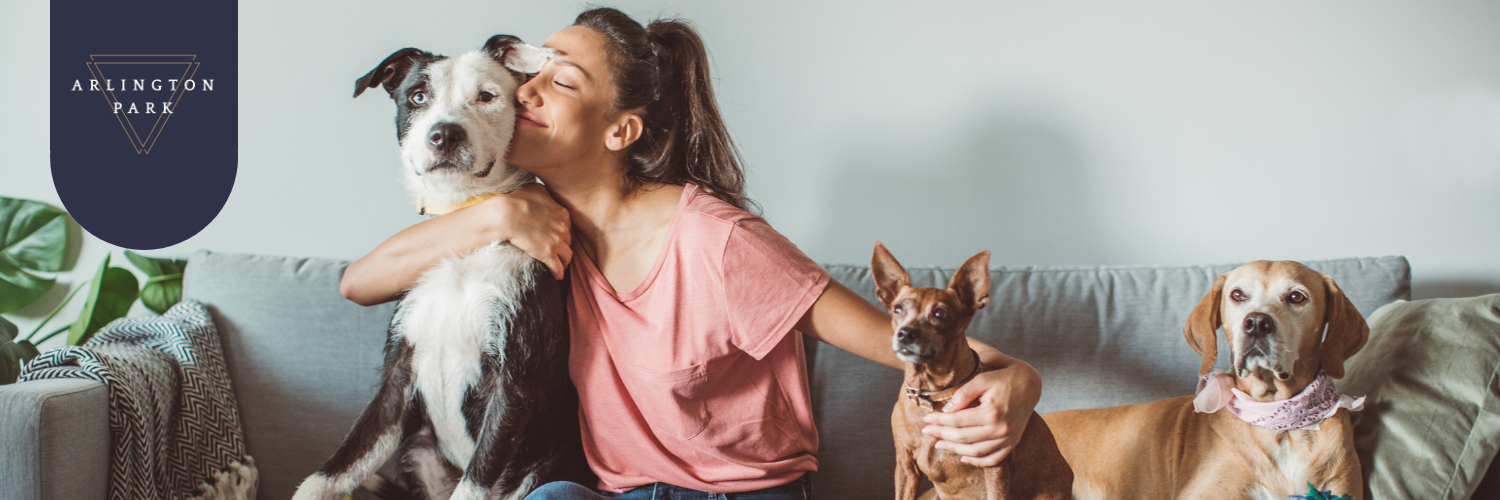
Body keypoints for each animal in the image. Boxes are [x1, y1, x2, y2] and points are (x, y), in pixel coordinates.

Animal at [292, 36, 591, 498]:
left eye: (487, 96)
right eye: (417, 96)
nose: (445, 133)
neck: (463, 224)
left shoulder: (514, 383)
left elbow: (478, 478)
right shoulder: (398, 375)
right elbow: (340, 463)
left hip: (545, 467)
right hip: (418, 451)